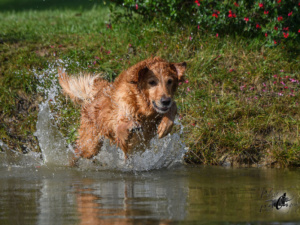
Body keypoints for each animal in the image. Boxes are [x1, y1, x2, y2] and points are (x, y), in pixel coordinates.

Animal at [57, 56, 186, 162]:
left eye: (169, 81)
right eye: (152, 82)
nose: (165, 101)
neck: (142, 106)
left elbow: (173, 106)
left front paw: (165, 126)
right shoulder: (117, 117)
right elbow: (120, 127)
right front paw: (130, 127)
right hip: (90, 145)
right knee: (77, 152)